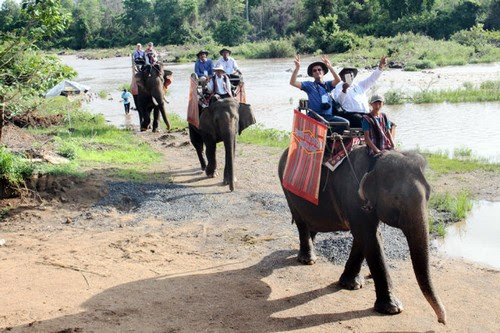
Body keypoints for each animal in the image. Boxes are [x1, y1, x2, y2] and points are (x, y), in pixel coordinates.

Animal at [278, 147, 446, 322]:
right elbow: (369, 237)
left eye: (429, 196)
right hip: (288, 191)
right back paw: (308, 260)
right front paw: (393, 309)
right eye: (397, 199)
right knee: (301, 221)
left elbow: (363, 237)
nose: (441, 320)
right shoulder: (353, 196)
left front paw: (351, 285)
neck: (376, 159)